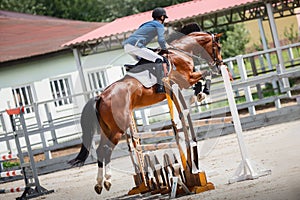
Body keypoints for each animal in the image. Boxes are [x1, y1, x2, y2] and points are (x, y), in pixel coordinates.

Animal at [68, 30, 225, 194]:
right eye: (218, 47)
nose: (219, 65)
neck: (180, 51)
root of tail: (101, 96)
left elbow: (203, 77)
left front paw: (199, 93)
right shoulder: (186, 79)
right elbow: (206, 74)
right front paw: (202, 93)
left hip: (108, 129)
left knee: (100, 150)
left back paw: (101, 184)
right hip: (118, 128)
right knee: (106, 149)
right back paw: (106, 181)